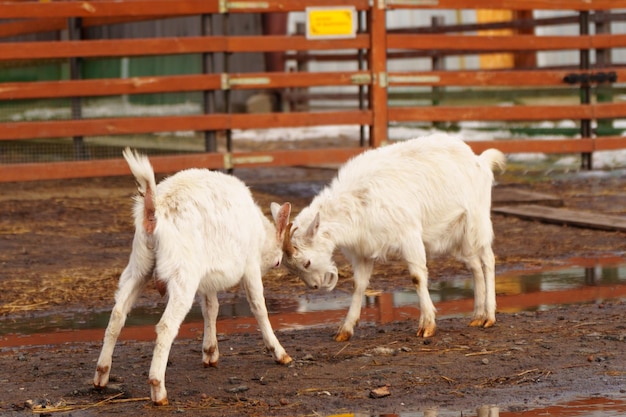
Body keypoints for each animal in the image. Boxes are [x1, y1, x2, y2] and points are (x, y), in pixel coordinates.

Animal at [93, 148, 292, 404]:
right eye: (277, 261)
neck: (260, 234)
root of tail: (154, 208)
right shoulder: (249, 266)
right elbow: (259, 307)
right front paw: (279, 352)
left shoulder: (207, 276)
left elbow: (211, 308)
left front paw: (210, 353)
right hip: (182, 274)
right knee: (165, 326)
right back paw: (158, 389)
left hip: (139, 264)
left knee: (117, 314)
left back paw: (101, 376)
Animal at [280, 133, 504, 342]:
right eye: (292, 269)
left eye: (307, 262)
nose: (316, 286)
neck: (358, 200)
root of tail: (479, 160)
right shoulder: (363, 249)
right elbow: (358, 285)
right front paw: (345, 329)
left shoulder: (409, 234)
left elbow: (417, 277)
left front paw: (427, 325)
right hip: (459, 235)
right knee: (474, 266)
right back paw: (477, 316)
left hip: (477, 220)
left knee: (487, 260)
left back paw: (489, 317)